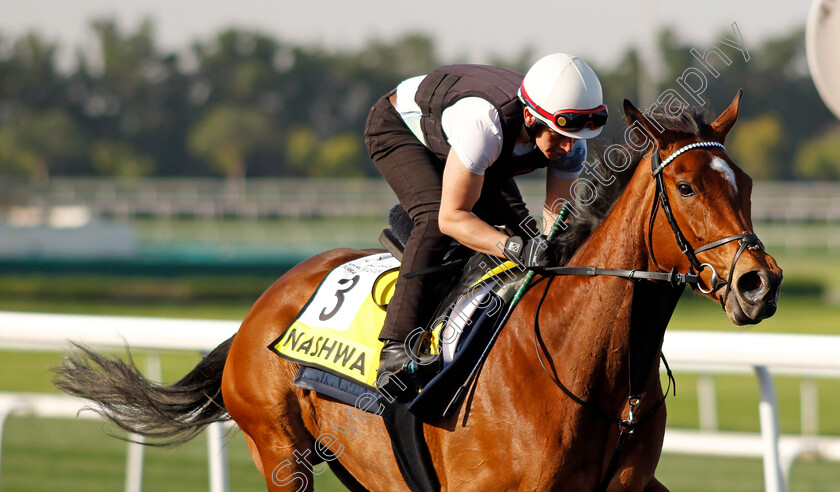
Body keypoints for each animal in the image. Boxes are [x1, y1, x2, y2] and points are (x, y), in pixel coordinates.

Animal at [57, 93, 780, 492]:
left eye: (744, 182)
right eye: (685, 186)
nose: (760, 282)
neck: (592, 373)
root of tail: (262, 306)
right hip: (282, 451)